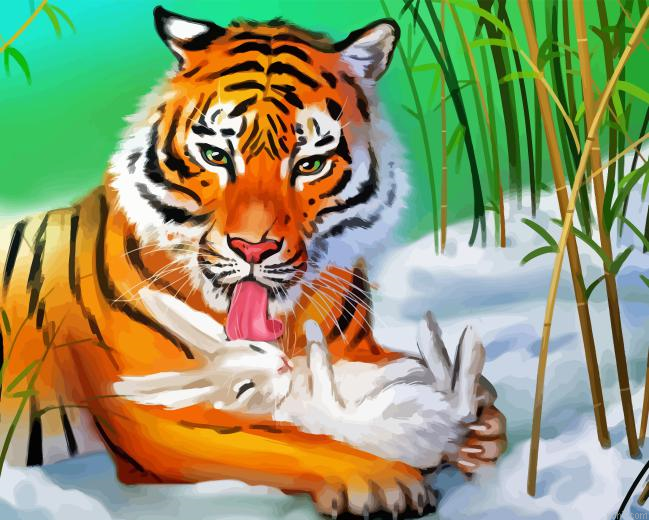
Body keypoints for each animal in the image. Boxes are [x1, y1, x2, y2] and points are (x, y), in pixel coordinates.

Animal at [0, 6, 506, 517]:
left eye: (309, 165)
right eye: (215, 155)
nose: (252, 249)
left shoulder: (358, 353)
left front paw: (482, 423)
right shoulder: (154, 417)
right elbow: (286, 440)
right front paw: (383, 477)